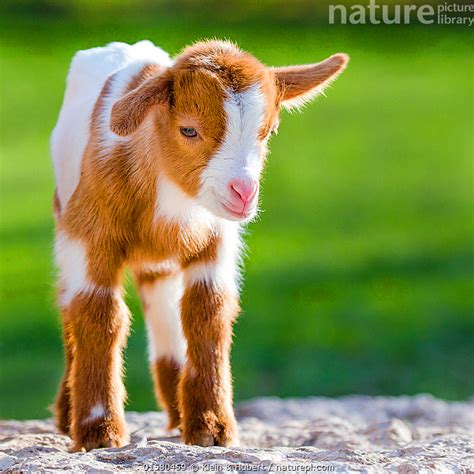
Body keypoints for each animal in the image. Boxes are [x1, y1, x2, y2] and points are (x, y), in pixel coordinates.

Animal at [51, 39, 348, 450]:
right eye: (188, 130)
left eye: (268, 132)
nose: (244, 193)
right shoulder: (89, 234)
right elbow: (99, 312)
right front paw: (99, 433)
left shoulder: (217, 239)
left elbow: (207, 309)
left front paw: (210, 427)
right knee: (69, 304)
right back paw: (68, 415)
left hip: (158, 263)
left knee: (161, 297)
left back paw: (177, 411)